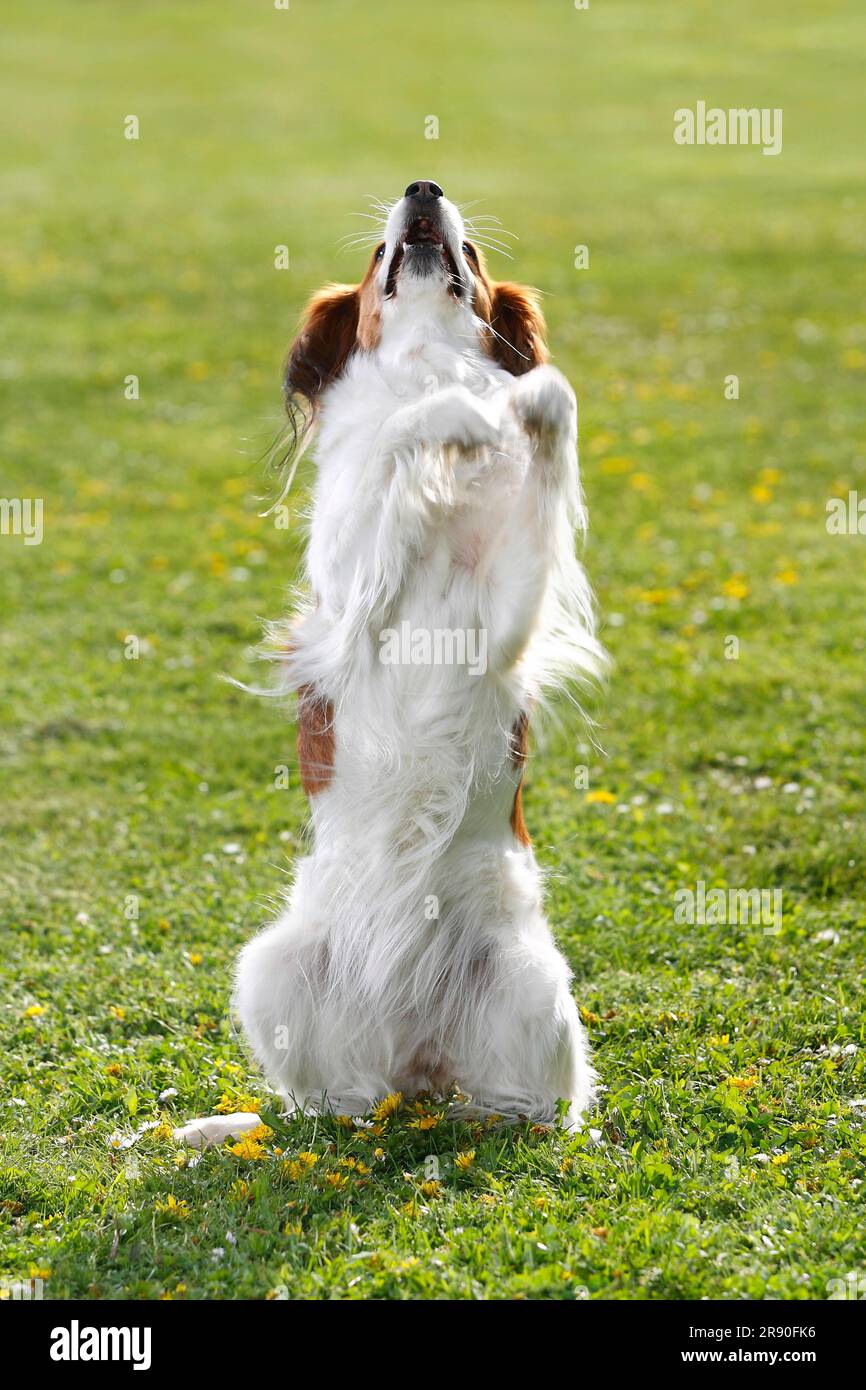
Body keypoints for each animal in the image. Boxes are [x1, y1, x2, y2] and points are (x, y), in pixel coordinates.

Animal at [232, 184, 608, 1134]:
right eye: (378, 255)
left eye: (469, 257)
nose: (424, 189)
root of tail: (418, 1062)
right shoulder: (351, 592)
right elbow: (406, 430)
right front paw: (459, 415)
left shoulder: (504, 620)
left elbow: (545, 423)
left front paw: (529, 403)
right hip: (270, 970)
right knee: (329, 1110)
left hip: (533, 988)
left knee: (533, 1110)